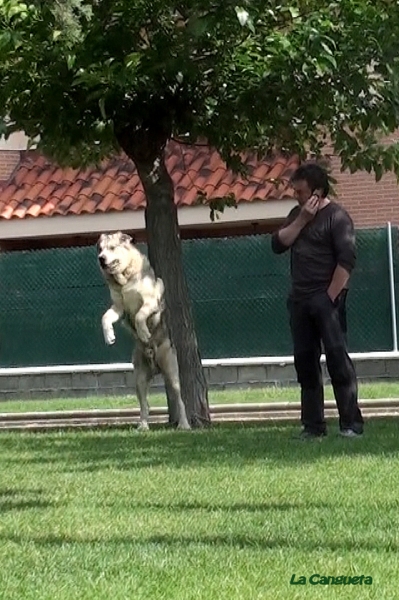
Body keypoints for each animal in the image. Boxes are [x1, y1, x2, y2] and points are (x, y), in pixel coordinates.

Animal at [96, 231, 191, 432]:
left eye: (112, 248)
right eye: (100, 249)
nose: (101, 258)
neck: (124, 281)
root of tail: (155, 368)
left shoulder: (150, 302)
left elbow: (140, 315)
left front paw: (144, 333)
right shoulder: (118, 307)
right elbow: (105, 317)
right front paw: (109, 337)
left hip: (171, 370)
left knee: (180, 399)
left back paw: (184, 424)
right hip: (138, 377)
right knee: (144, 404)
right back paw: (143, 425)